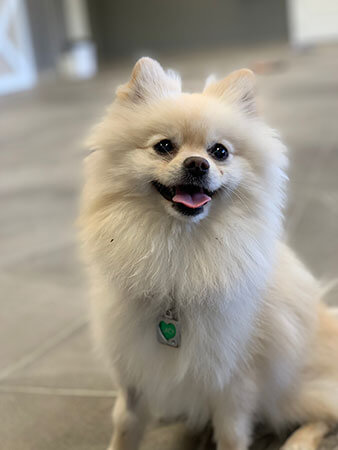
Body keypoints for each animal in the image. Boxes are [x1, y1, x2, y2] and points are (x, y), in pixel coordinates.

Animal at [79, 57, 338, 450]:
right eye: (164, 146)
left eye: (220, 152)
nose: (198, 164)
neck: (180, 247)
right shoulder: (134, 366)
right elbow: (125, 423)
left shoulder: (233, 379)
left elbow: (231, 435)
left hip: (290, 393)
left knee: (323, 415)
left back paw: (298, 441)